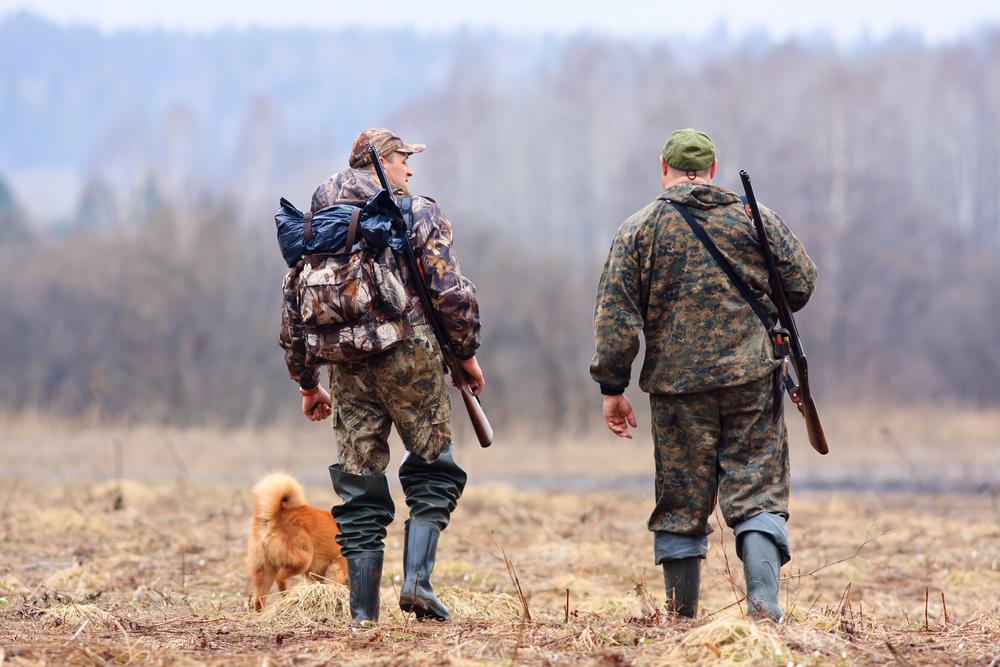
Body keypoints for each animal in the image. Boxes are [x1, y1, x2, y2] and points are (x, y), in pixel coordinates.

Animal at [246, 470, 348, 612]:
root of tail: (276, 515)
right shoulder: (337, 567)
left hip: (265, 570)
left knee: (259, 599)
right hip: (302, 560)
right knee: (281, 578)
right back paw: (286, 597)